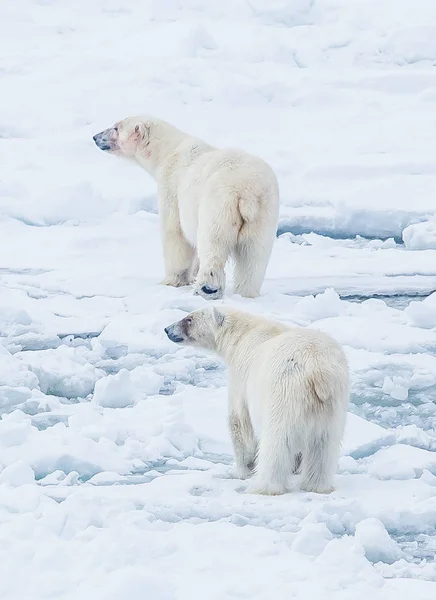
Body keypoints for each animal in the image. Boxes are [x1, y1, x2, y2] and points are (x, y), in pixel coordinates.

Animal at [93, 115, 282, 300]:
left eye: (116, 127)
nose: (95, 137)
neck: (167, 151)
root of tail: (247, 191)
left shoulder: (171, 187)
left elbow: (175, 233)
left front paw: (171, 280)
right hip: (265, 211)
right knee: (254, 255)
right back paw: (246, 292)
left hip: (219, 203)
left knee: (213, 242)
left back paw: (208, 288)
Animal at [165, 308, 350, 494]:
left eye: (189, 319)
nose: (167, 329)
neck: (241, 335)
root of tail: (318, 370)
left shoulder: (241, 376)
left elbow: (239, 421)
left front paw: (239, 470)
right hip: (333, 405)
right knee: (324, 447)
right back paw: (316, 486)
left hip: (285, 395)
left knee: (276, 442)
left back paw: (263, 487)